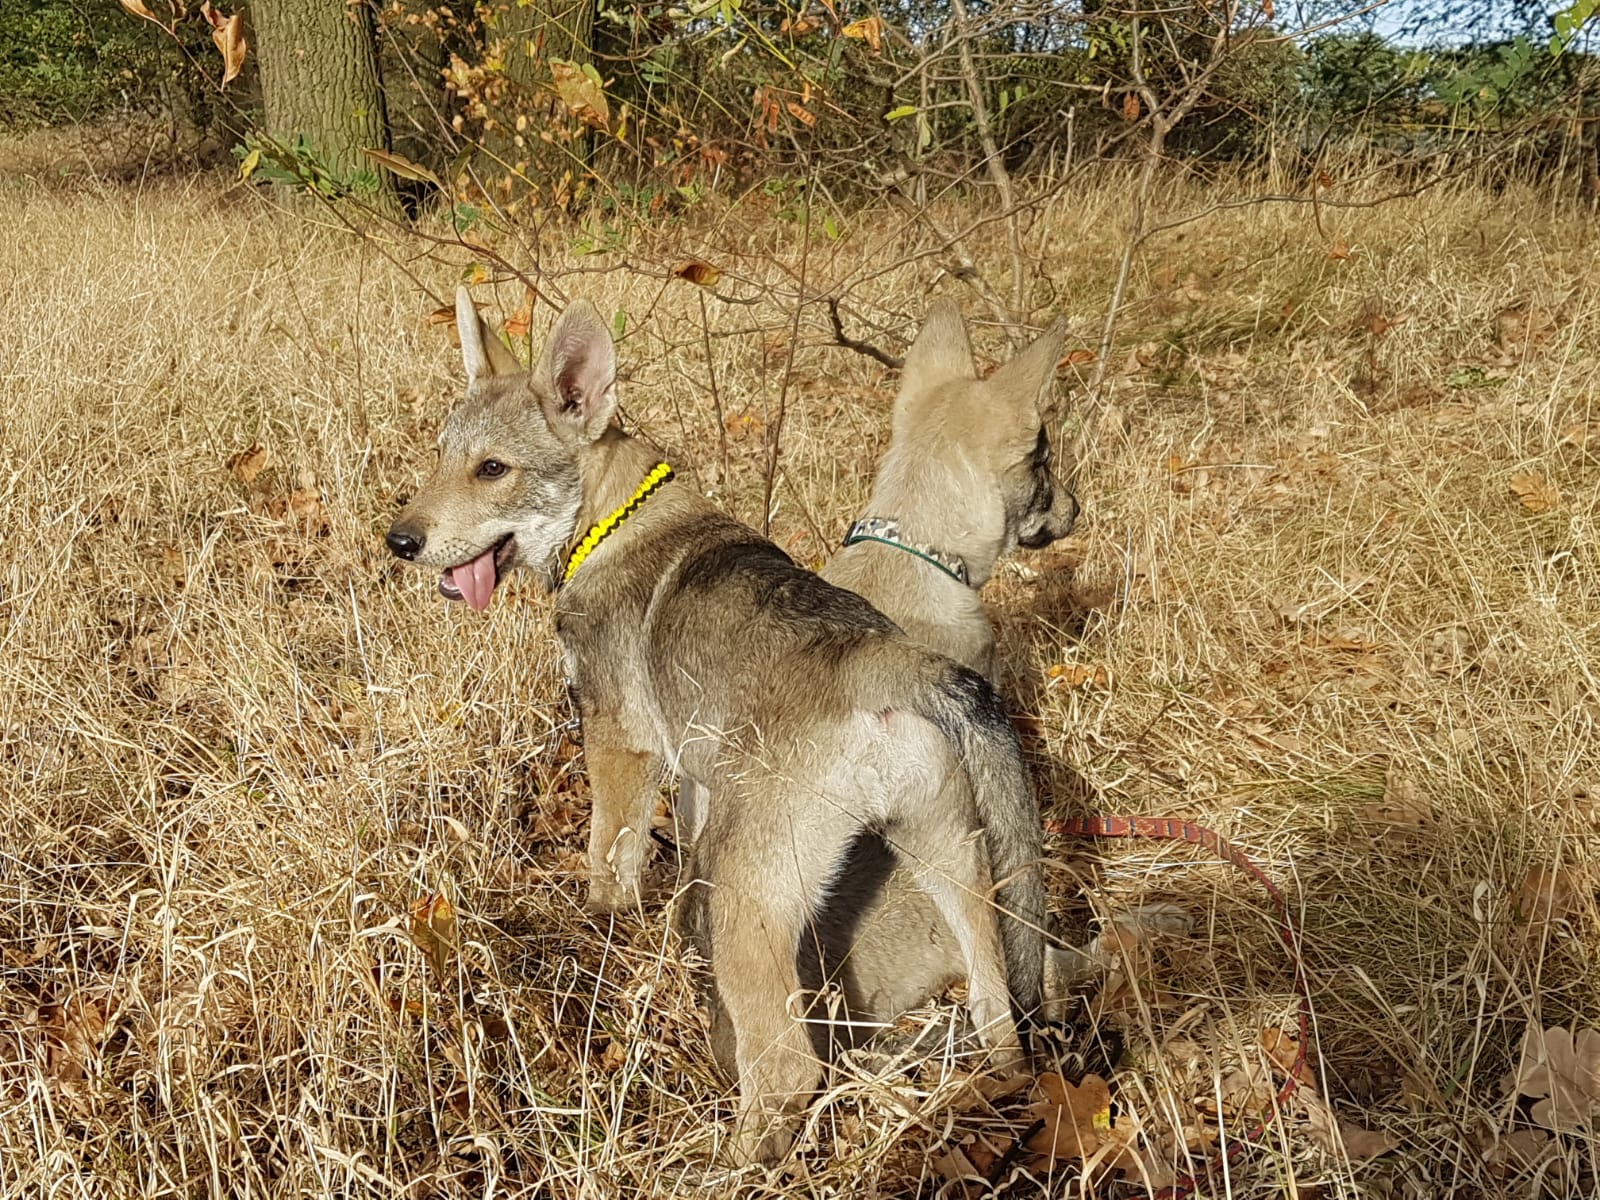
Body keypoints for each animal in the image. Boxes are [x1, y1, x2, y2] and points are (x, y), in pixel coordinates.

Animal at [385, 289, 1046, 1163]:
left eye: (492, 468)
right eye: (439, 455)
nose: (399, 542)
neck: (612, 523)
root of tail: (877, 661)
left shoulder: (621, 743)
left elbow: (609, 860)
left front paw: (604, 931)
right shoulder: (693, 769)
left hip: (751, 904)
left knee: (789, 1069)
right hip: (953, 868)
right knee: (996, 1009)